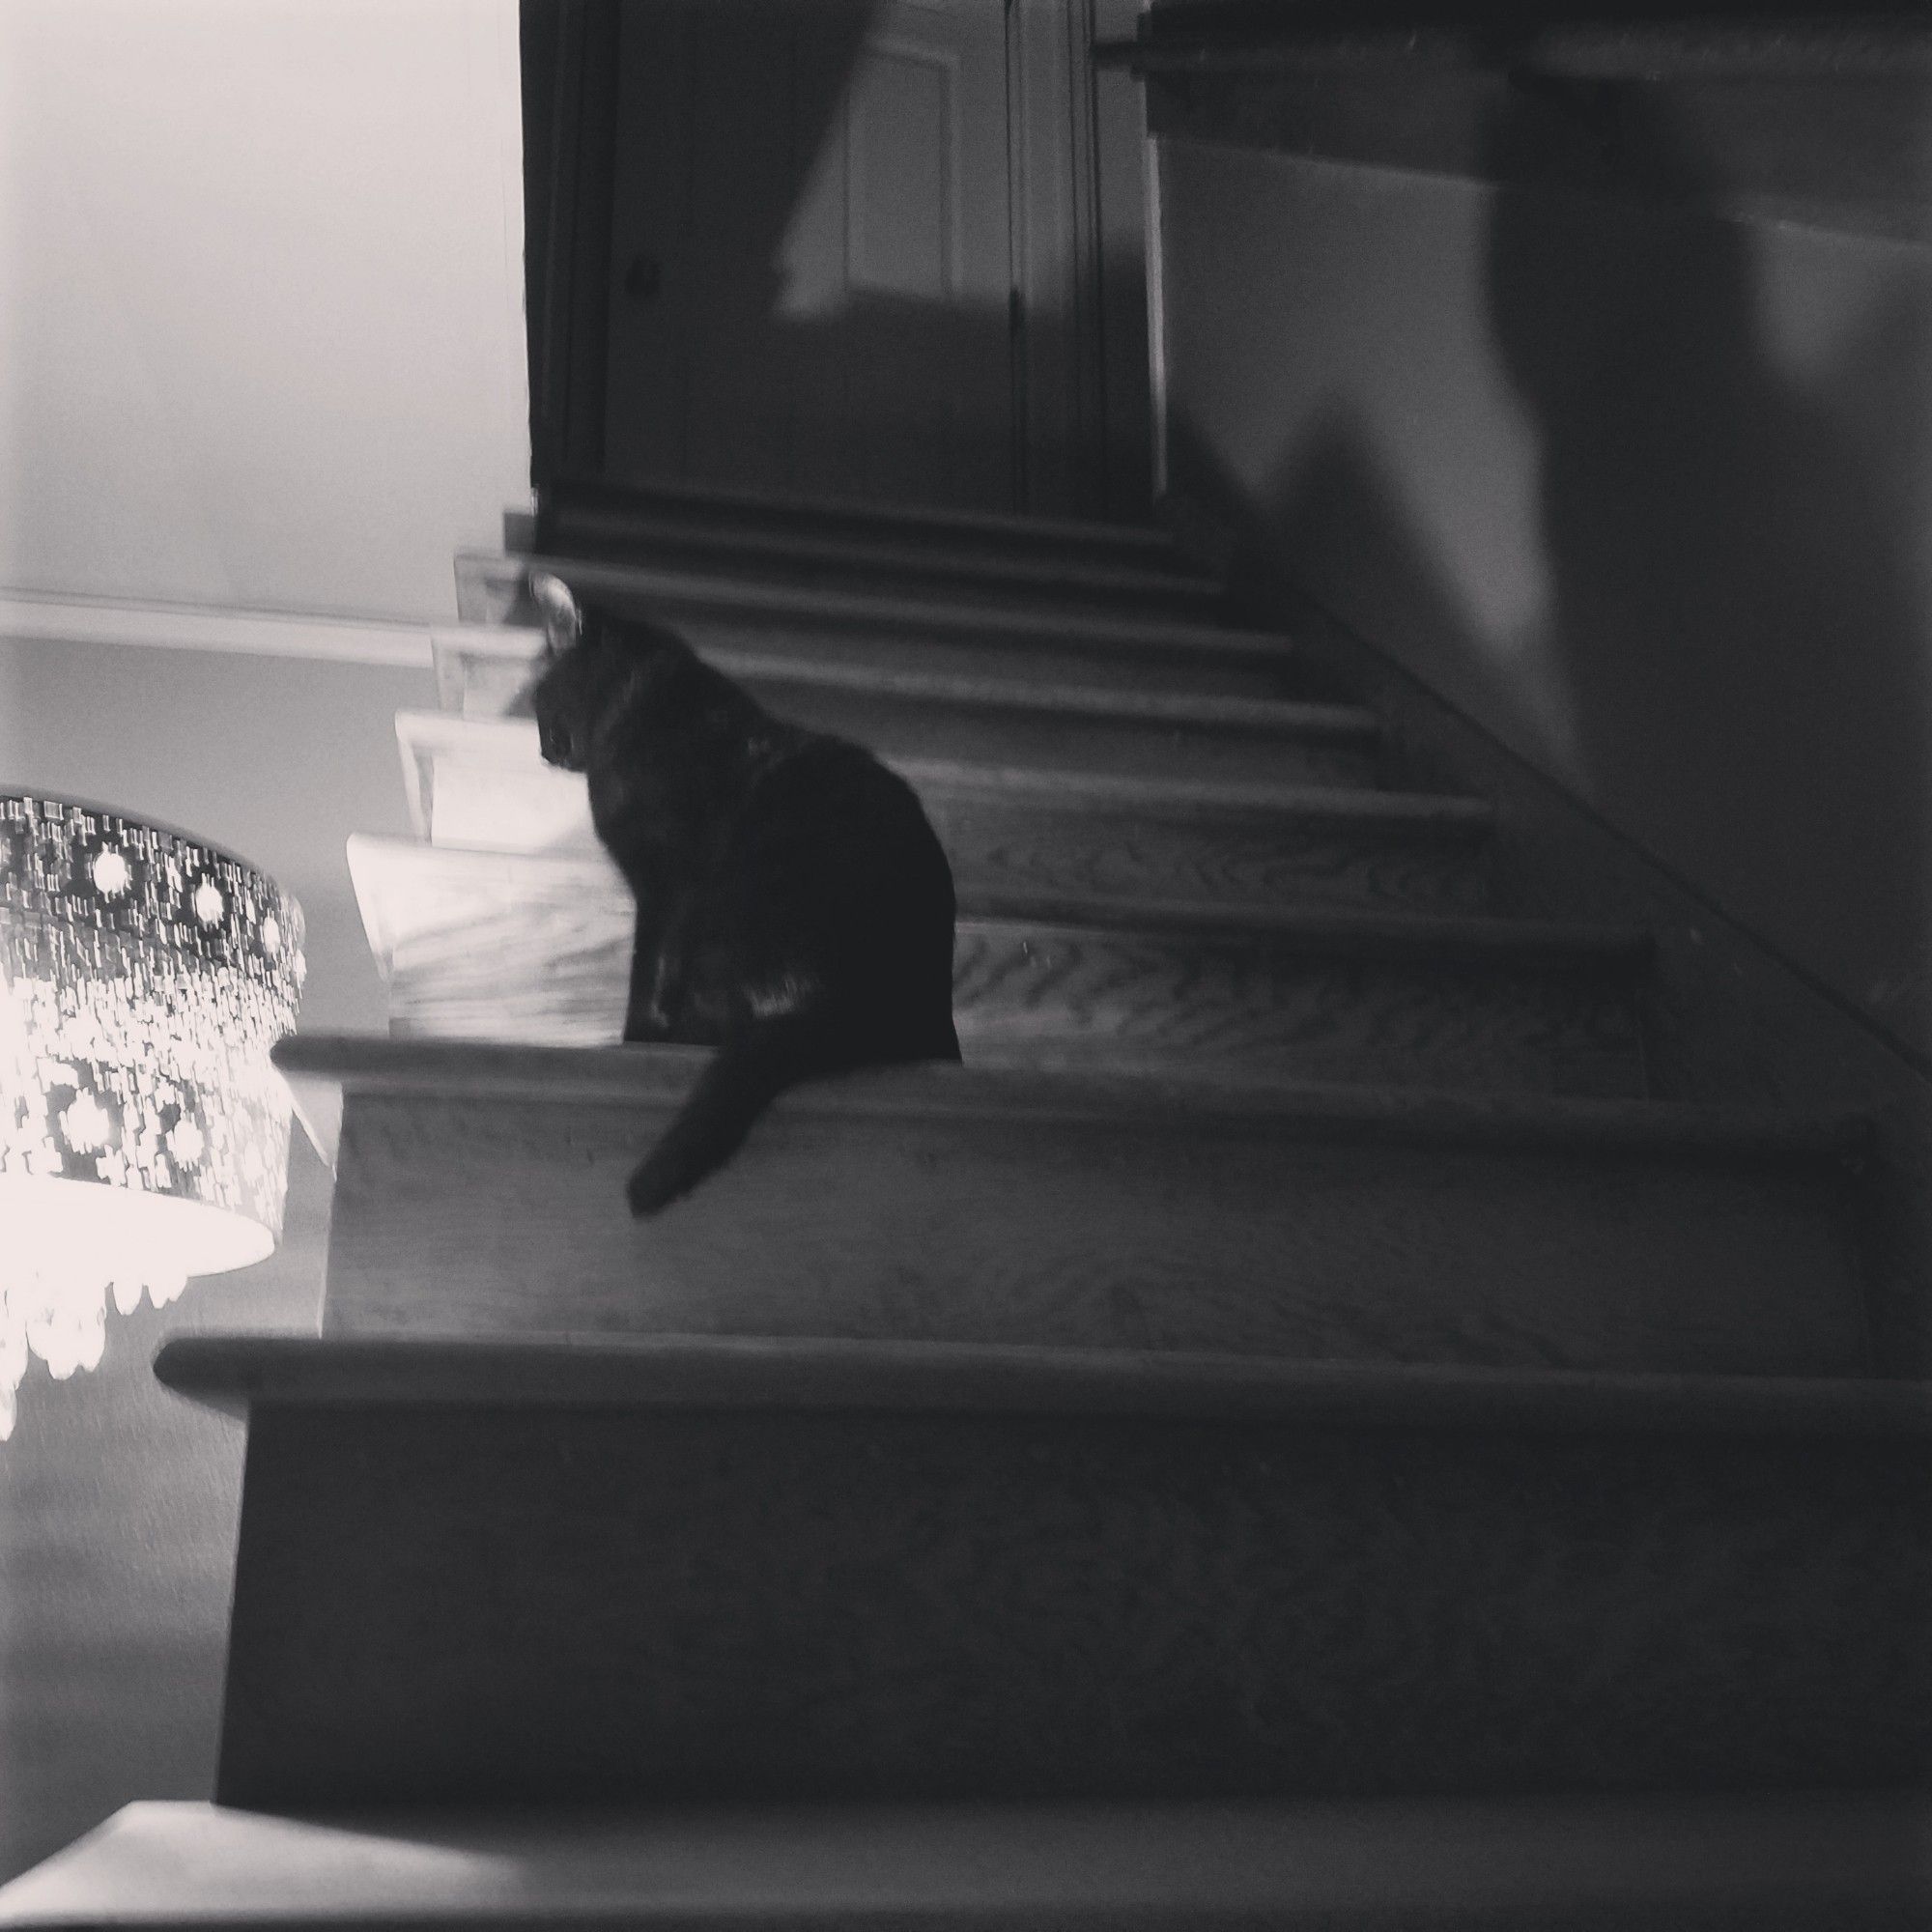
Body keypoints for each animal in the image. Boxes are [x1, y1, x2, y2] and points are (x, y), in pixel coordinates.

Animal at [526, 564, 962, 1213]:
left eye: (539, 701)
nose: (542, 749)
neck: (640, 712)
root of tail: (870, 1016)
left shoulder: (666, 890)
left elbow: (646, 971)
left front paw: (637, 1038)